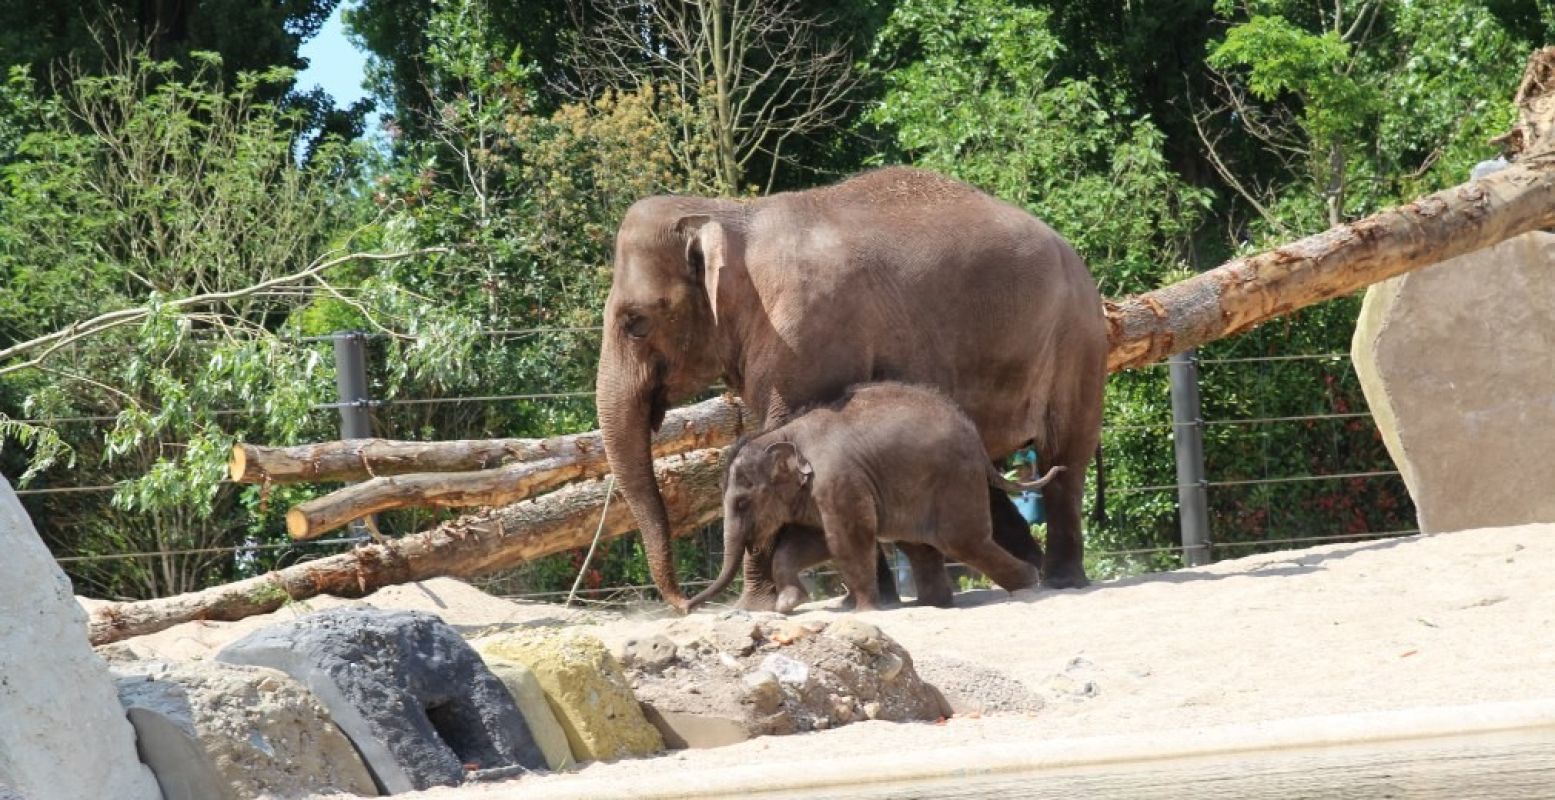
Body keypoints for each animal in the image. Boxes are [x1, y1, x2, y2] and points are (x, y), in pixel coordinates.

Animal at [687, 379, 1063, 610]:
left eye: (742, 502)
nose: (686, 607)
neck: (785, 434)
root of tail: (976, 438)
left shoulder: (838, 480)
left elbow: (846, 539)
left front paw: (865, 610)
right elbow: (811, 541)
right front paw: (788, 605)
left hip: (955, 479)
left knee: (963, 541)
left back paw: (1029, 582)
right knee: (920, 545)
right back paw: (934, 603)